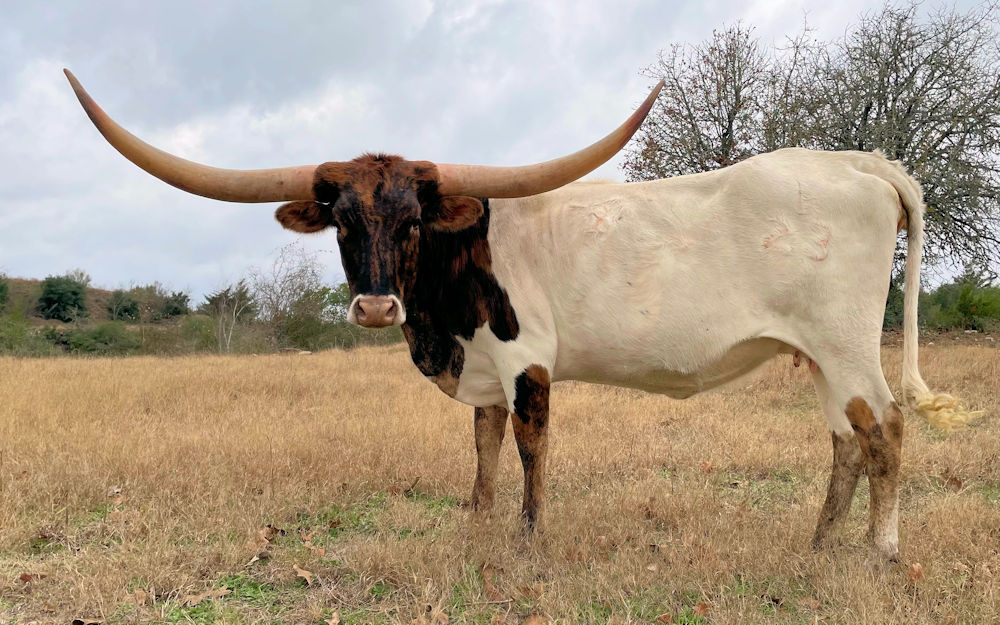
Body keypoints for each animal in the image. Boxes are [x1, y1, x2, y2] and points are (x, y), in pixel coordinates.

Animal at [65, 69, 977, 563]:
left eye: (413, 220)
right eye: (343, 221)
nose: (375, 304)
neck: (443, 314)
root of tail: (863, 163)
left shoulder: (524, 357)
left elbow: (533, 446)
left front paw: (530, 539)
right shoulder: (481, 371)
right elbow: (484, 444)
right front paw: (476, 520)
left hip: (847, 343)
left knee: (887, 429)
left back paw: (880, 552)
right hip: (820, 353)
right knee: (846, 439)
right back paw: (819, 545)